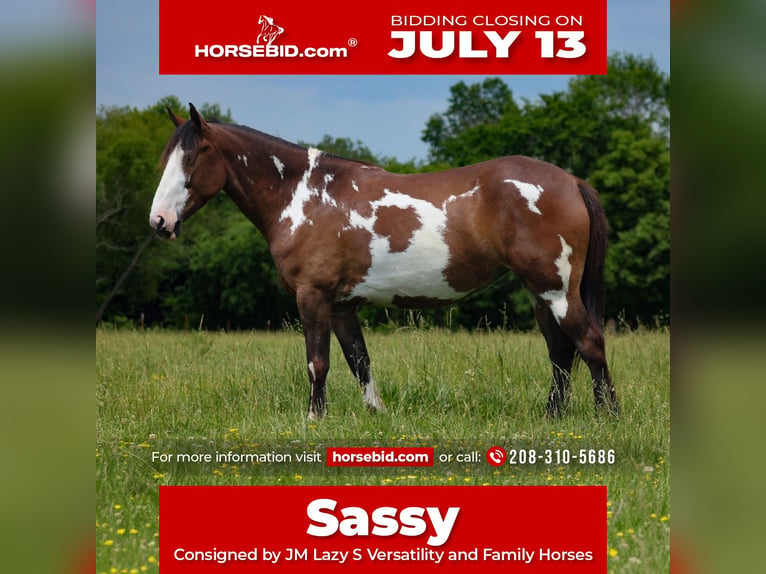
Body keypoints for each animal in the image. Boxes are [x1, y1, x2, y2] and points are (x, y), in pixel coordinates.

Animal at [150, 103, 619, 419]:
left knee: (589, 342)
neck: (303, 196)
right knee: (561, 351)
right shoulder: (342, 305)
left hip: (555, 290)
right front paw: (375, 412)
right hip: (541, 293)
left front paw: (313, 419)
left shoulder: (312, 296)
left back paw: (607, 416)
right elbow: (358, 361)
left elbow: (317, 362)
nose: (160, 222)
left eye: (192, 157)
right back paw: (552, 415)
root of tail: (571, 180)